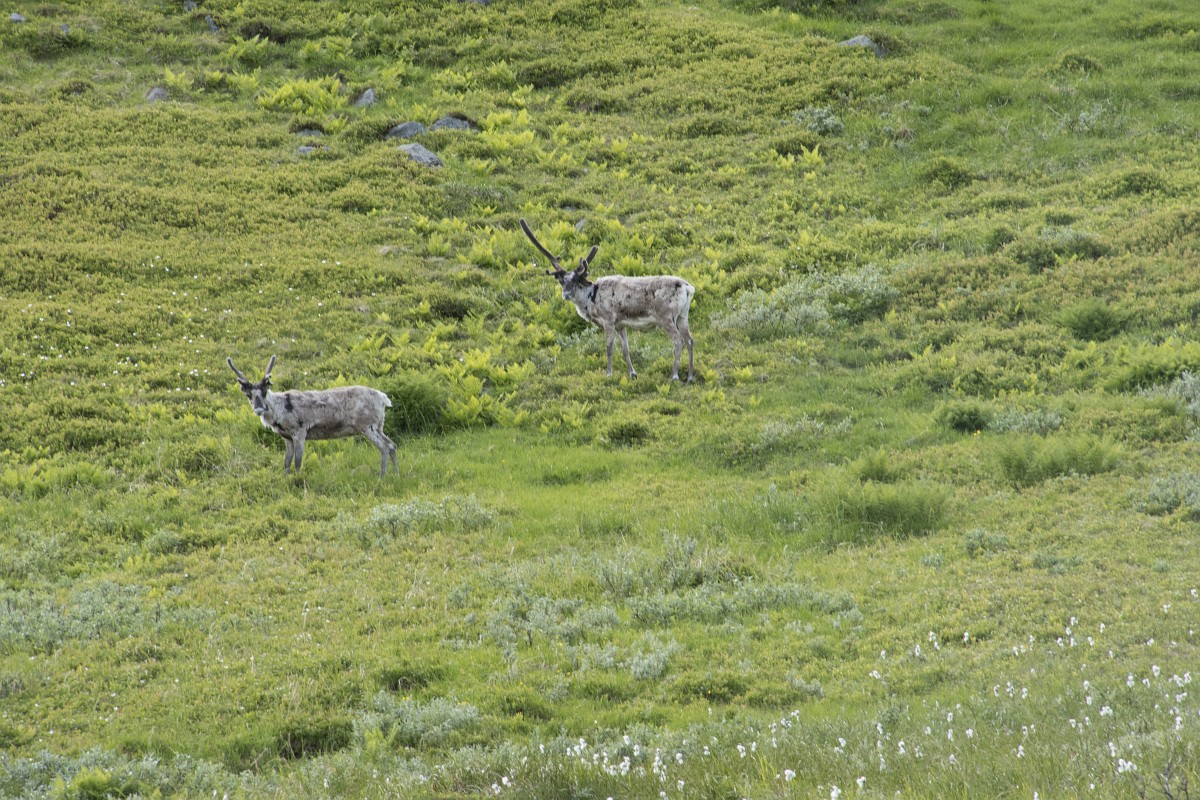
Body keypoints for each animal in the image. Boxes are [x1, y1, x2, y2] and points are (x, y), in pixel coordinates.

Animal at [227, 355, 398, 477]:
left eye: (264, 391)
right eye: (248, 394)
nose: (259, 409)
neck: (279, 409)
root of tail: (383, 398)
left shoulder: (299, 432)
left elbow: (298, 462)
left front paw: (297, 479)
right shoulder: (287, 438)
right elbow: (286, 463)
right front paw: (286, 479)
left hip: (367, 426)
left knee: (384, 446)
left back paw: (382, 477)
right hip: (378, 426)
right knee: (392, 444)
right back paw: (396, 474)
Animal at [520, 218, 696, 382]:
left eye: (577, 281)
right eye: (562, 281)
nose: (566, 294)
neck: (591, 298)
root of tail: (688, 288)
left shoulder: (609, 320)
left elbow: (609, 348)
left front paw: (609, 373)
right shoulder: (621, 325)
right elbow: (625, 349)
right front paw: (632, 373)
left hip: (666, 317)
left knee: (678, 341)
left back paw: (674, 375)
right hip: (683, 316)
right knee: (690, 340)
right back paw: (690, 376)